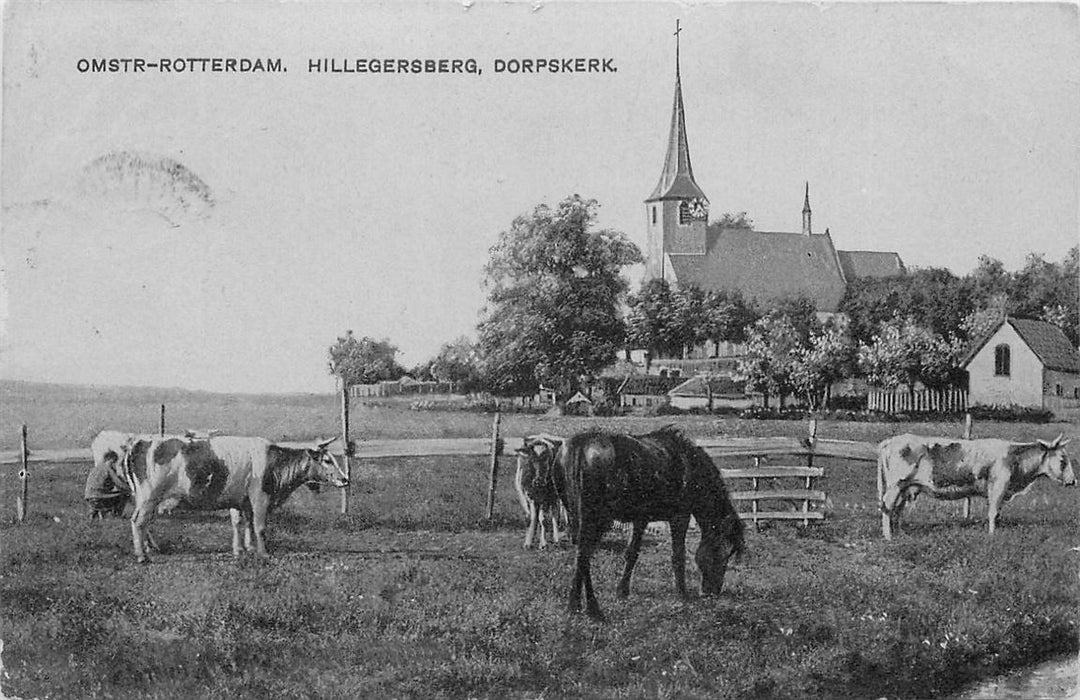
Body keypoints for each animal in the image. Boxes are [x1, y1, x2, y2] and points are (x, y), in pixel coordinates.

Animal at [124, 432, 347, 561]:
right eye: (327, 460)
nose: (345, 479)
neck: (273, 462)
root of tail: (140, 442)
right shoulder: (259, 497)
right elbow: (259, 526)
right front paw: (263, 553)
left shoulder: (241, 501)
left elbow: (241, 524)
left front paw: (243, 549)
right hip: (149, 496)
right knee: (138, 521)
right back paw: (141, 555)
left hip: (146, 499)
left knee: (145, 522)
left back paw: (150, 548)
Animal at [552, 425, 747, 617]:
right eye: (722, 553)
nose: (711, 592)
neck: (688, 465)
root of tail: (581, 444)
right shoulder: (680, 517)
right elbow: (678, 555)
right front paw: (682, 593)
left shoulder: (641, 519)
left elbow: (632, 553)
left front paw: (622, 591)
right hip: (596, 519)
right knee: (584, 554)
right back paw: (590, 607)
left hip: (578, 516)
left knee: (582, 555)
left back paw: (578, 604)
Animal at [876, 429, 1071, 537]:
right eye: (1063, 460)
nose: (1073, 480)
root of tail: (891, 440)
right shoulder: (998, 486)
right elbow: (993, 513)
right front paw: (992, 535)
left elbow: (997, 513)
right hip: (895, 486)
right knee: (887, 507)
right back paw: (888, 536)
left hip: (904, 488)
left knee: (898, 509)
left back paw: (899, 533)